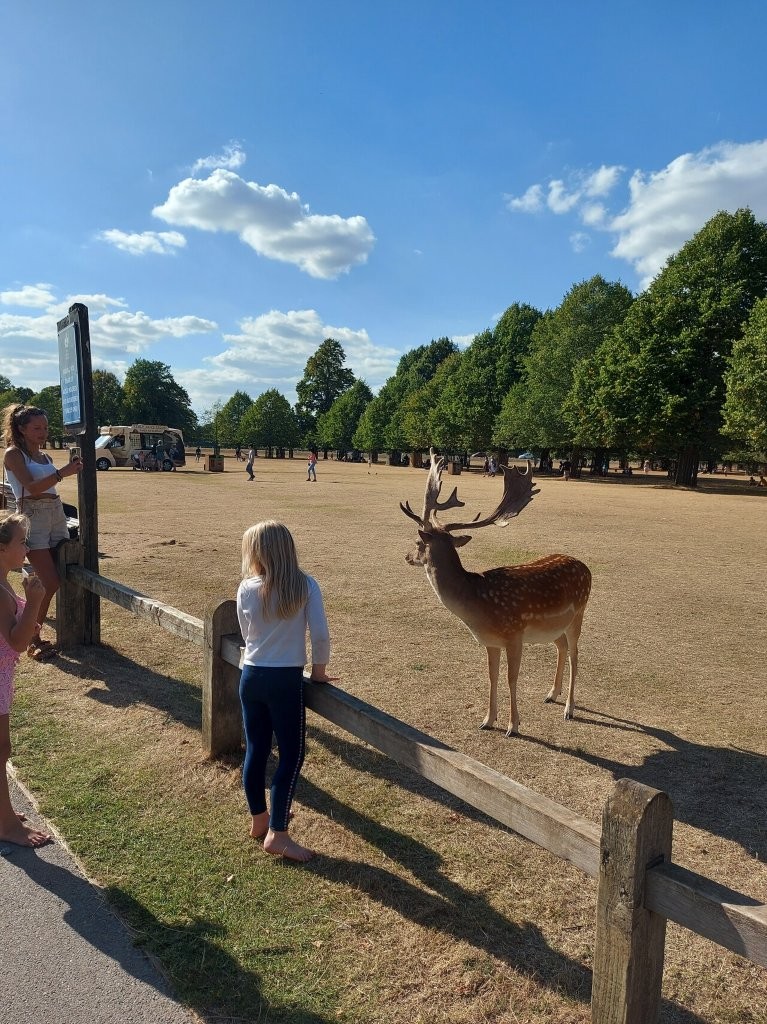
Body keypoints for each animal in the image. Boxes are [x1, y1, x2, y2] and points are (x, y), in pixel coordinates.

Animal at [400, 449, 591, 736]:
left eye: (417, 542)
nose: (407, 557)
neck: (478, 604)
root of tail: (586, 568)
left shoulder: (514, 635)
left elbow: (511, 678)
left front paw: (513, 725)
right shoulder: (490, 641)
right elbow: (492, 676)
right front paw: (488, 720)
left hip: (578, 613)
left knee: (575, 654)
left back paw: (569, 709)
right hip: (555, 626)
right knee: (561, 647)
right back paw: (551, 694)